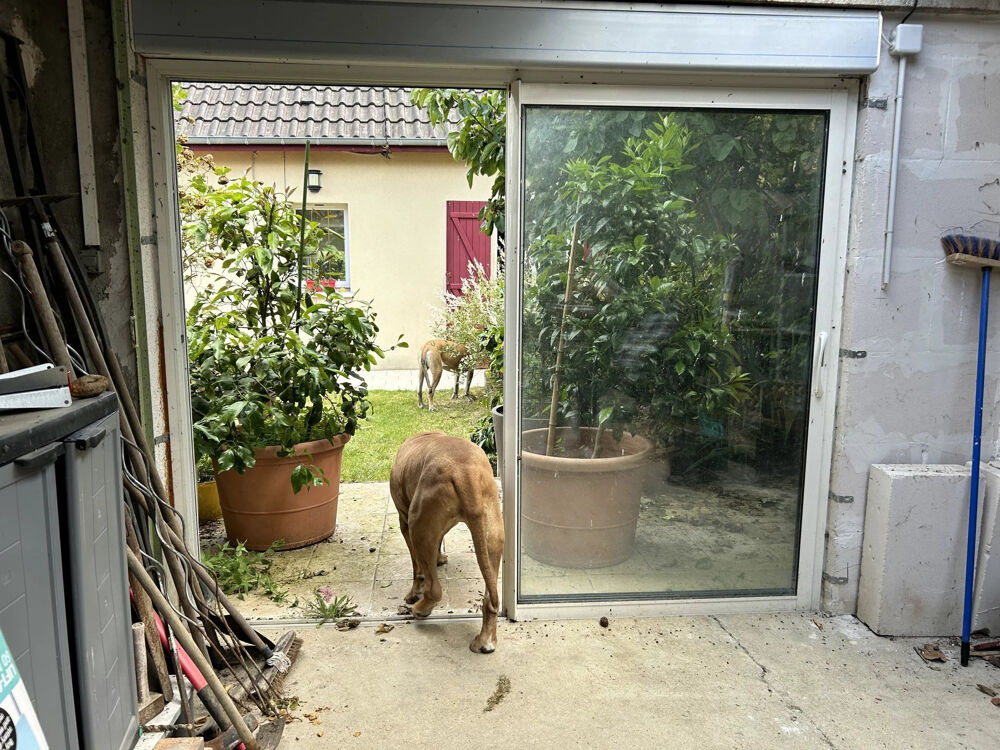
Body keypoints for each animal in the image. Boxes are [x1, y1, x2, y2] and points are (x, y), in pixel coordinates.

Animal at [389, 432, 503, 653]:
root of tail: (465, 473)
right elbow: (439, 540)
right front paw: (440, 558)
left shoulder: (404, 522)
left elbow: (417, 568)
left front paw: (414, 593)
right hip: (493, 536)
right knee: (489, 596)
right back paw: (485, 640)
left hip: (417, 527)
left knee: (433, 588)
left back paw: (420, 609)